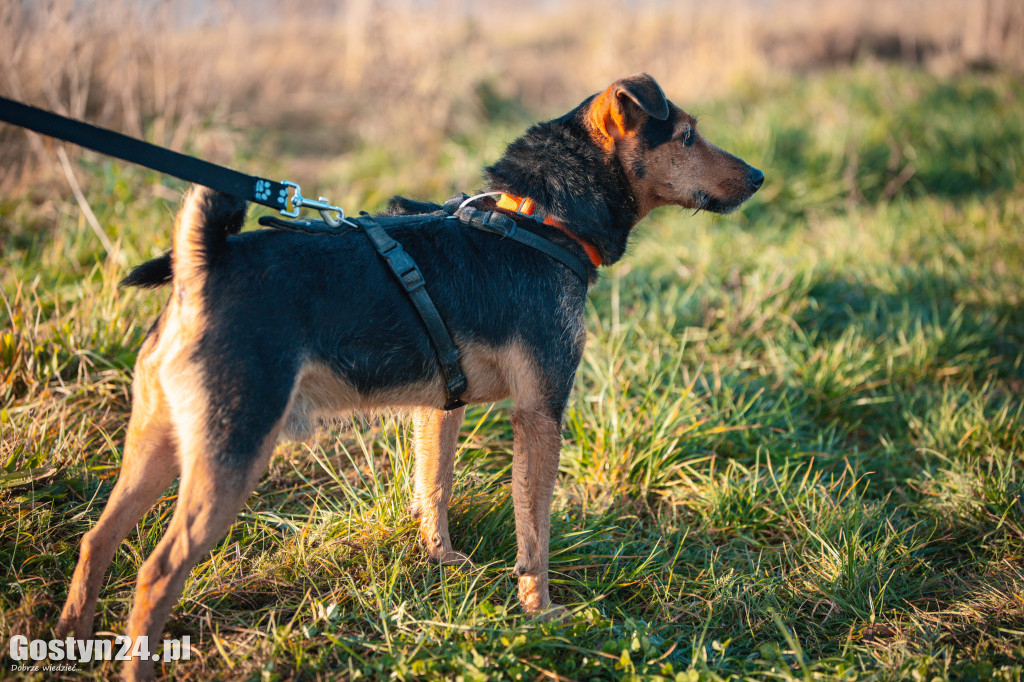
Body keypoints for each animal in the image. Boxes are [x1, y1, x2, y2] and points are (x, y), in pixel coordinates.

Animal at [54, 71, 761, 675]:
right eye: (688, 135)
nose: (757, 175)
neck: (539, 219)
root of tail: (201, 265)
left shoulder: (439, 409)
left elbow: (434, 489)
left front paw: (442, 561)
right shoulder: (541, 413)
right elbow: (534, 531)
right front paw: (541, 615)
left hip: (159, 444)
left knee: (96, 541)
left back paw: (69, 644)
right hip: (231, 455)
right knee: (155, 574)